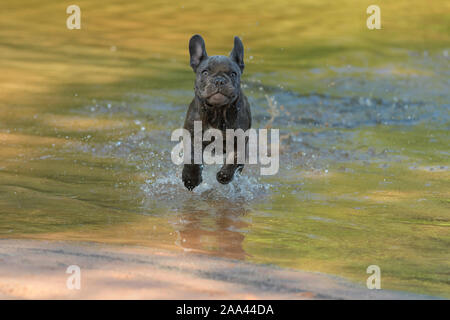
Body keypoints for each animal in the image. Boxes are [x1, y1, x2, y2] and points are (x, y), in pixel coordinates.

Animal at [183, 35, 253, 190]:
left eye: (233, 74)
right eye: (205, 72)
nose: (219, 80)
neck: (217, 111)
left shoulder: (240, 141)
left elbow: (235, 158)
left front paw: (224, 175)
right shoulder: (192, 136)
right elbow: (192, 156)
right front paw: (191, 178)